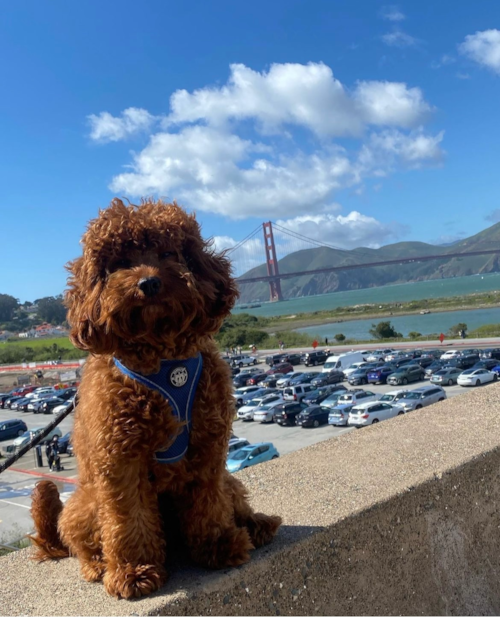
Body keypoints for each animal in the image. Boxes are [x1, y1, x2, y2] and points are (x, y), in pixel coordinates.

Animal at [30, 199, 282, 596]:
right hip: (85, 504)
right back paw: (98, 564)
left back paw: (255, 524)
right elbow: (128, 518)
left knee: (233, 500)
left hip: (230, 481)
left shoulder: (209, 447)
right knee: (81, 541)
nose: (148, 282)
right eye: (119, 263)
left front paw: (217, 544)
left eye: (167, 253)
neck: (164, 356)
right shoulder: (121, 458)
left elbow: (209, 503)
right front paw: (134, 570)